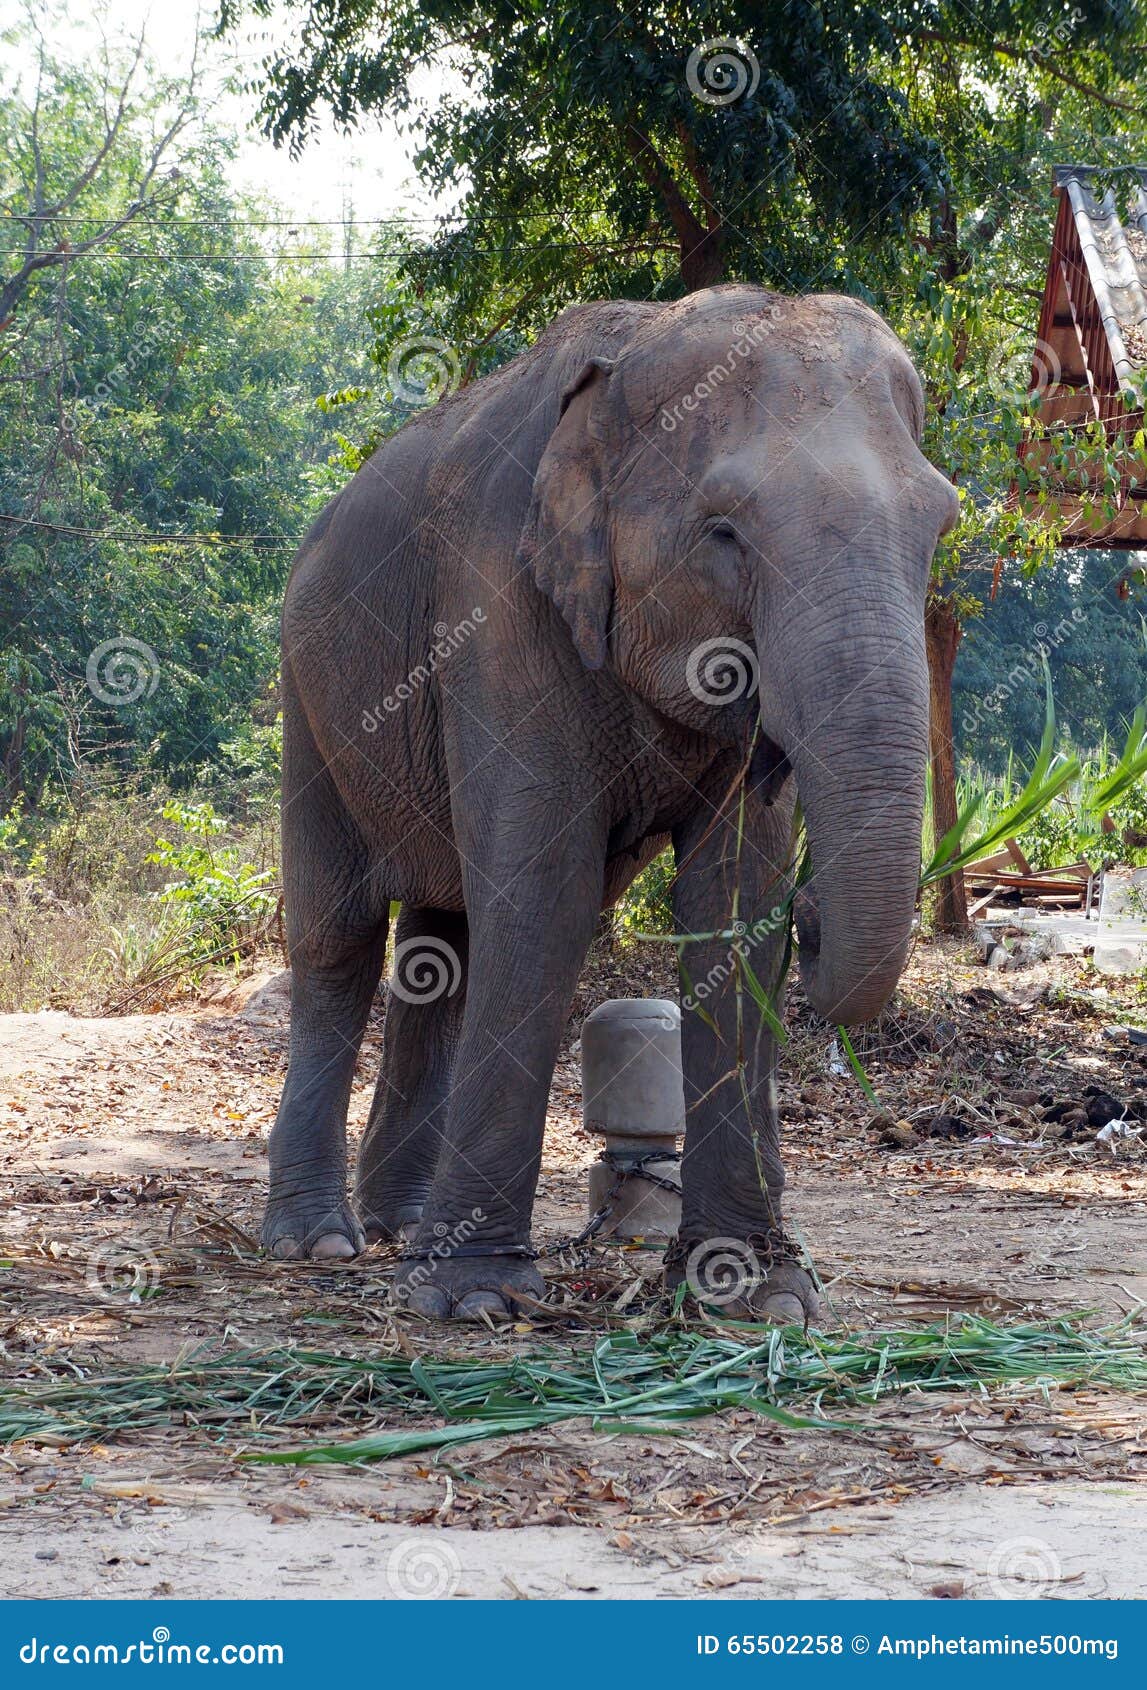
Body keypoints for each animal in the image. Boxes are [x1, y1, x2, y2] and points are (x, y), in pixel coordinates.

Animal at [265, 282, 958, 1320]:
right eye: (723, 531)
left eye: (938, 526)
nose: (816, 917)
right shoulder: (496, 602)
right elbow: (543, 897)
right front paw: (479, 1297)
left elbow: (730, 909)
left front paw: (754, 1292)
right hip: (307, 706)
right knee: (340, 940)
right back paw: (322, 1242)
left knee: (442, 946)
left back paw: (405, 1225)